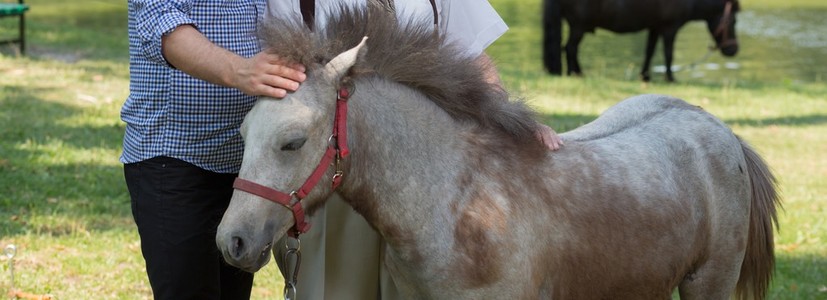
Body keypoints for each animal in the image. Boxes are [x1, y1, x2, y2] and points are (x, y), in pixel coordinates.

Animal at [544, 0, 744, 81]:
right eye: (733, 20)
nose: (733, 49)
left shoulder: (654, 28)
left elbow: (649, 52)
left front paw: (645, 75)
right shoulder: (670, 28)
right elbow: (668, 54)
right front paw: (670, 78)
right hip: (578, 27)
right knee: (570, 48)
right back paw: (575, 73)